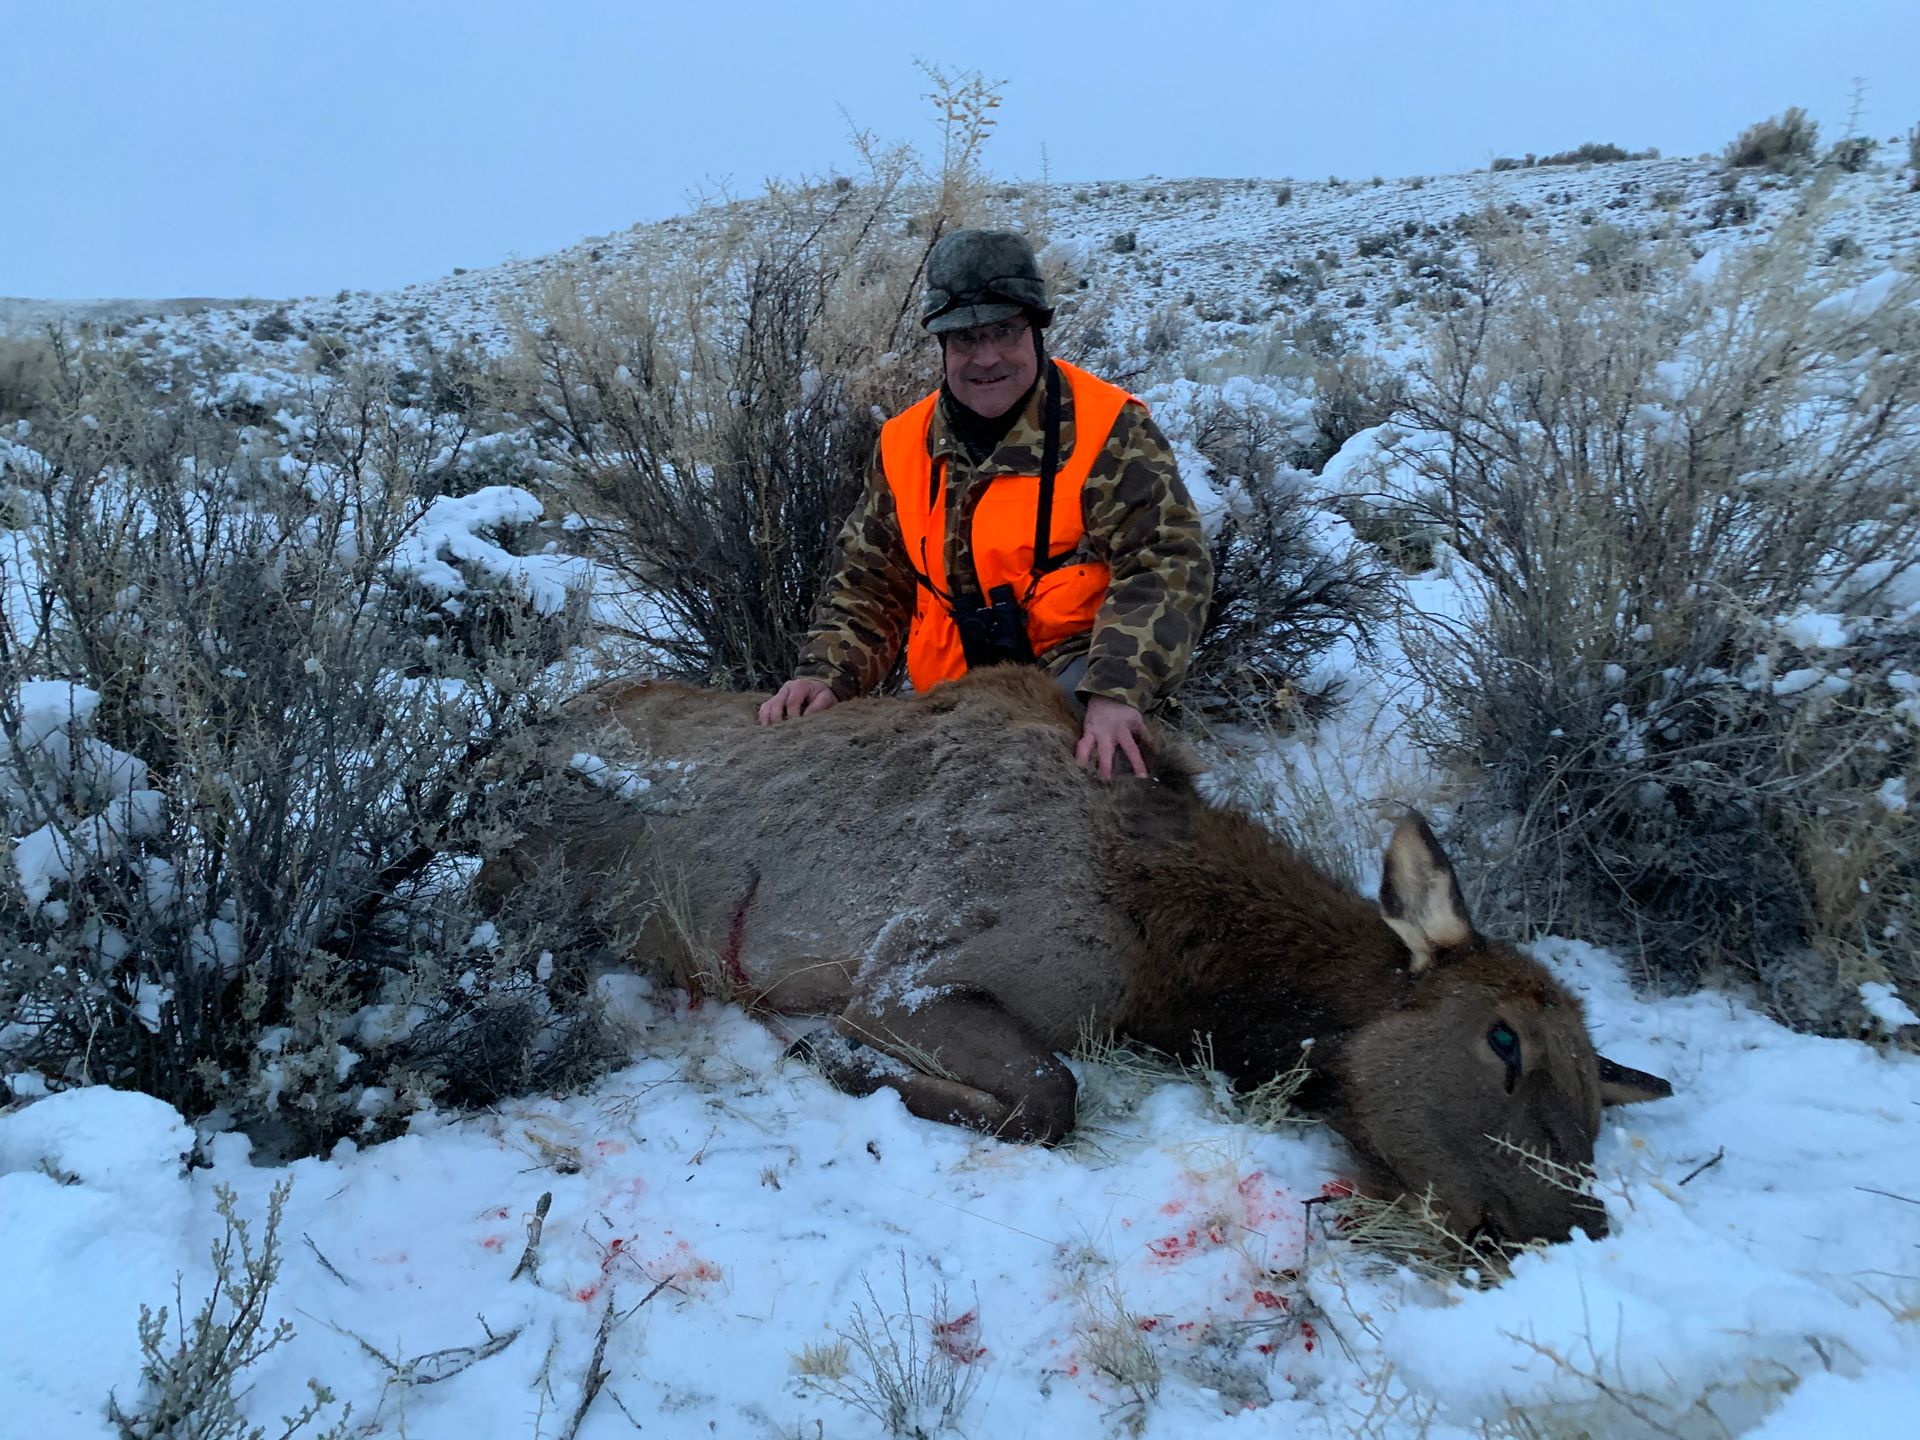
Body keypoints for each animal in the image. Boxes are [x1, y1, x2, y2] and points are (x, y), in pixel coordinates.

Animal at [480, 666, 1670, 1248]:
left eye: (1598, 1106)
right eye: (1502, 1040)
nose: (1575, 1223)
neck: (1167, 941)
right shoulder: (904, 969)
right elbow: (1050, 1094)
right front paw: (829, 1059)